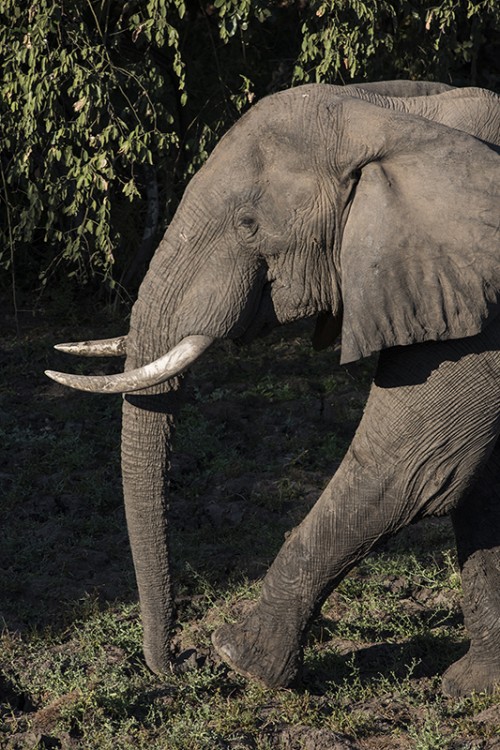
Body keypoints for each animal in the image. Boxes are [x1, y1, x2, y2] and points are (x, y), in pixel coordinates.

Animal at [46, 82, 500, 700]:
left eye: (248, 224)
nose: (185, 660)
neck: (394, 116)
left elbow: (416, 468)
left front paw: (239, 658)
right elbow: (475, 487)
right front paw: (474, 687)